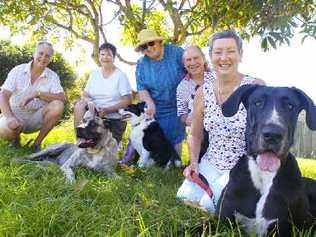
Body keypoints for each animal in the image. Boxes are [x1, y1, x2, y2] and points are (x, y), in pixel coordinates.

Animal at [217, 84, 316, 236]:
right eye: (258, 103)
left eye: (290, 106)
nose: (273, 134)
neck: (264, 174)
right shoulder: (221, 221)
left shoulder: (285, 228)